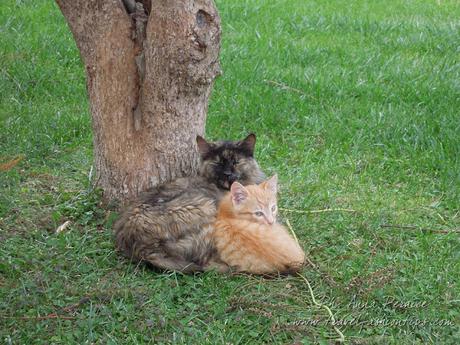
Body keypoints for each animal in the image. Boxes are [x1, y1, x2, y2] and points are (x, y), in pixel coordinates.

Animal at [114, 134, 264, 272]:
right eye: (218, 163)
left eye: (235, 162)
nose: (227, 173)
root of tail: (141, 246)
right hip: (207, 209)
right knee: (210, 262)